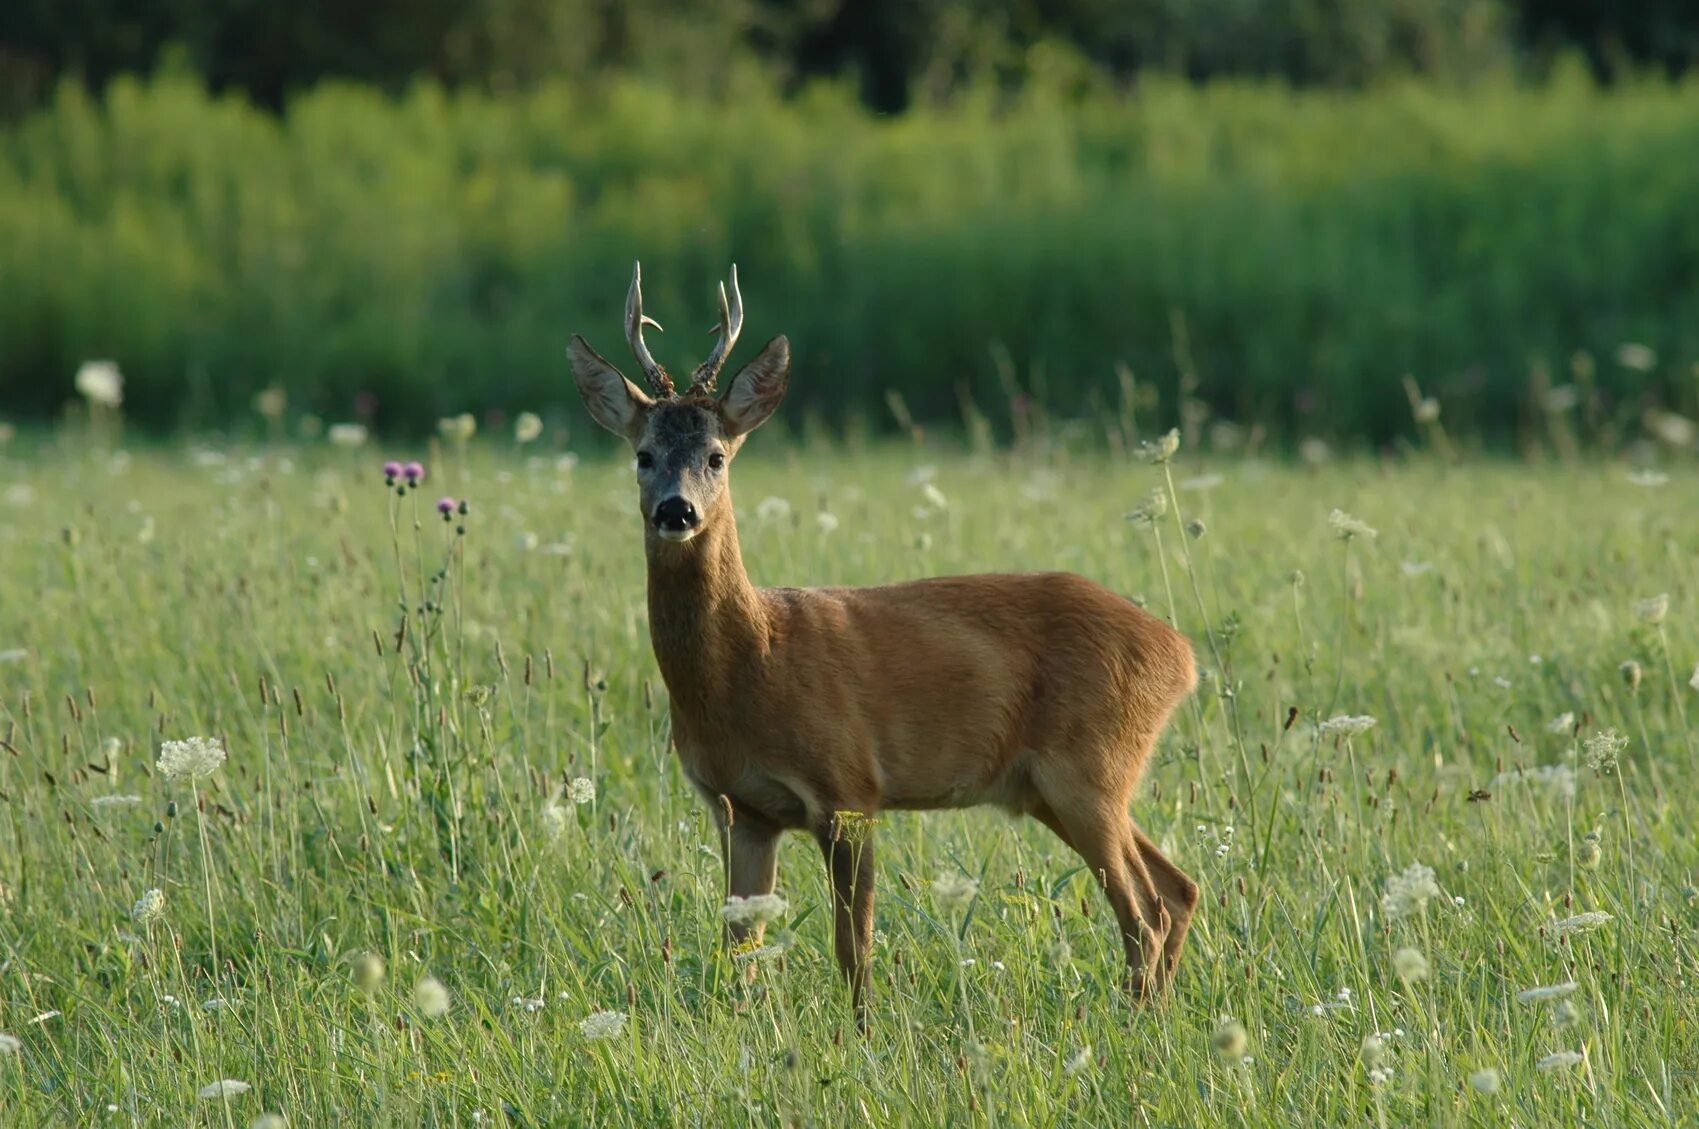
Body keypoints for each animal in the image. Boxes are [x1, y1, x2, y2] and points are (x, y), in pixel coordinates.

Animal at [570, 264, 1196, 1018]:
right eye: (643, 455)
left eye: (717, 457)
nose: (676, 509)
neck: (749, 667)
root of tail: (1181, 654)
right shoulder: (740, 808)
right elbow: (739, 947)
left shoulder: (848, 787)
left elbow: (854, 949)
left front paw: (861, 1031)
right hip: (1059, 786)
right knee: (1177, 887)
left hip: (1089, 766)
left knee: (1144, 910)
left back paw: (1133, 1022)